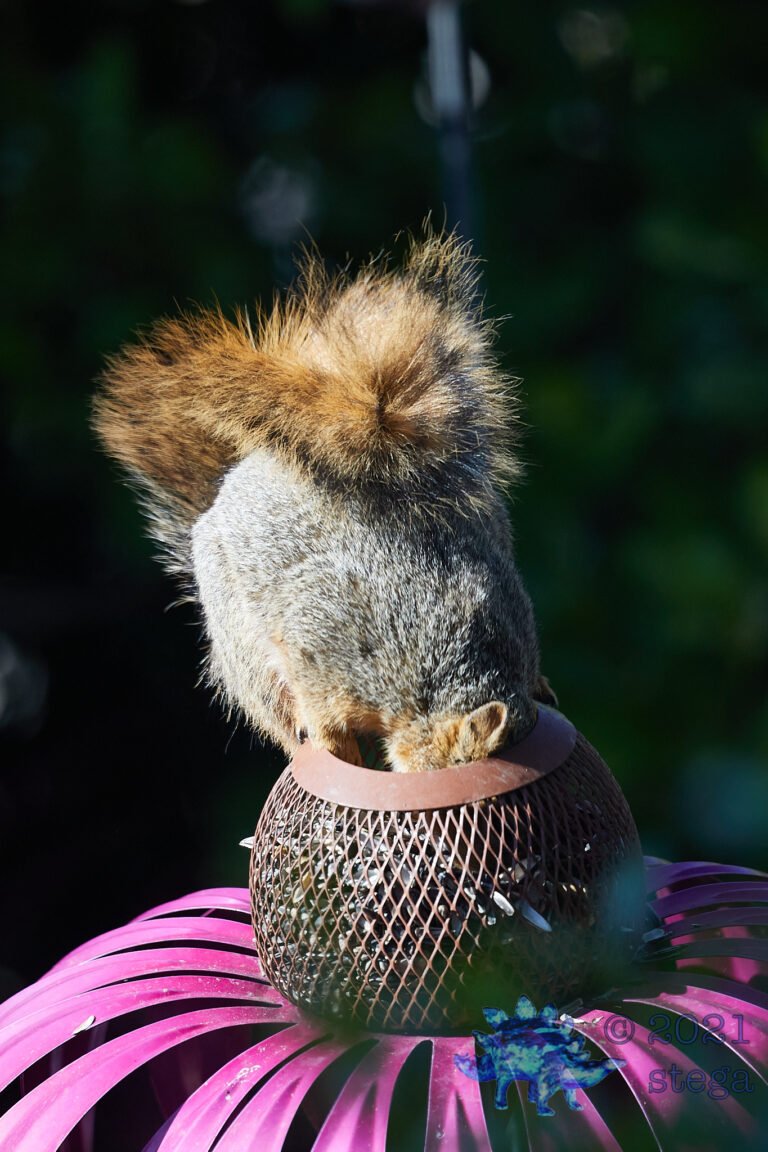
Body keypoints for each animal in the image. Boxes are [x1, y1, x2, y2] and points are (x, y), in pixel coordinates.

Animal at [93, 232, 556, 772]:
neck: (436, 670)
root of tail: (233, 480)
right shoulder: (320, 639)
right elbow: (323, 712)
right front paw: (341, 752)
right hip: (242, 643)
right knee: (275, 708)